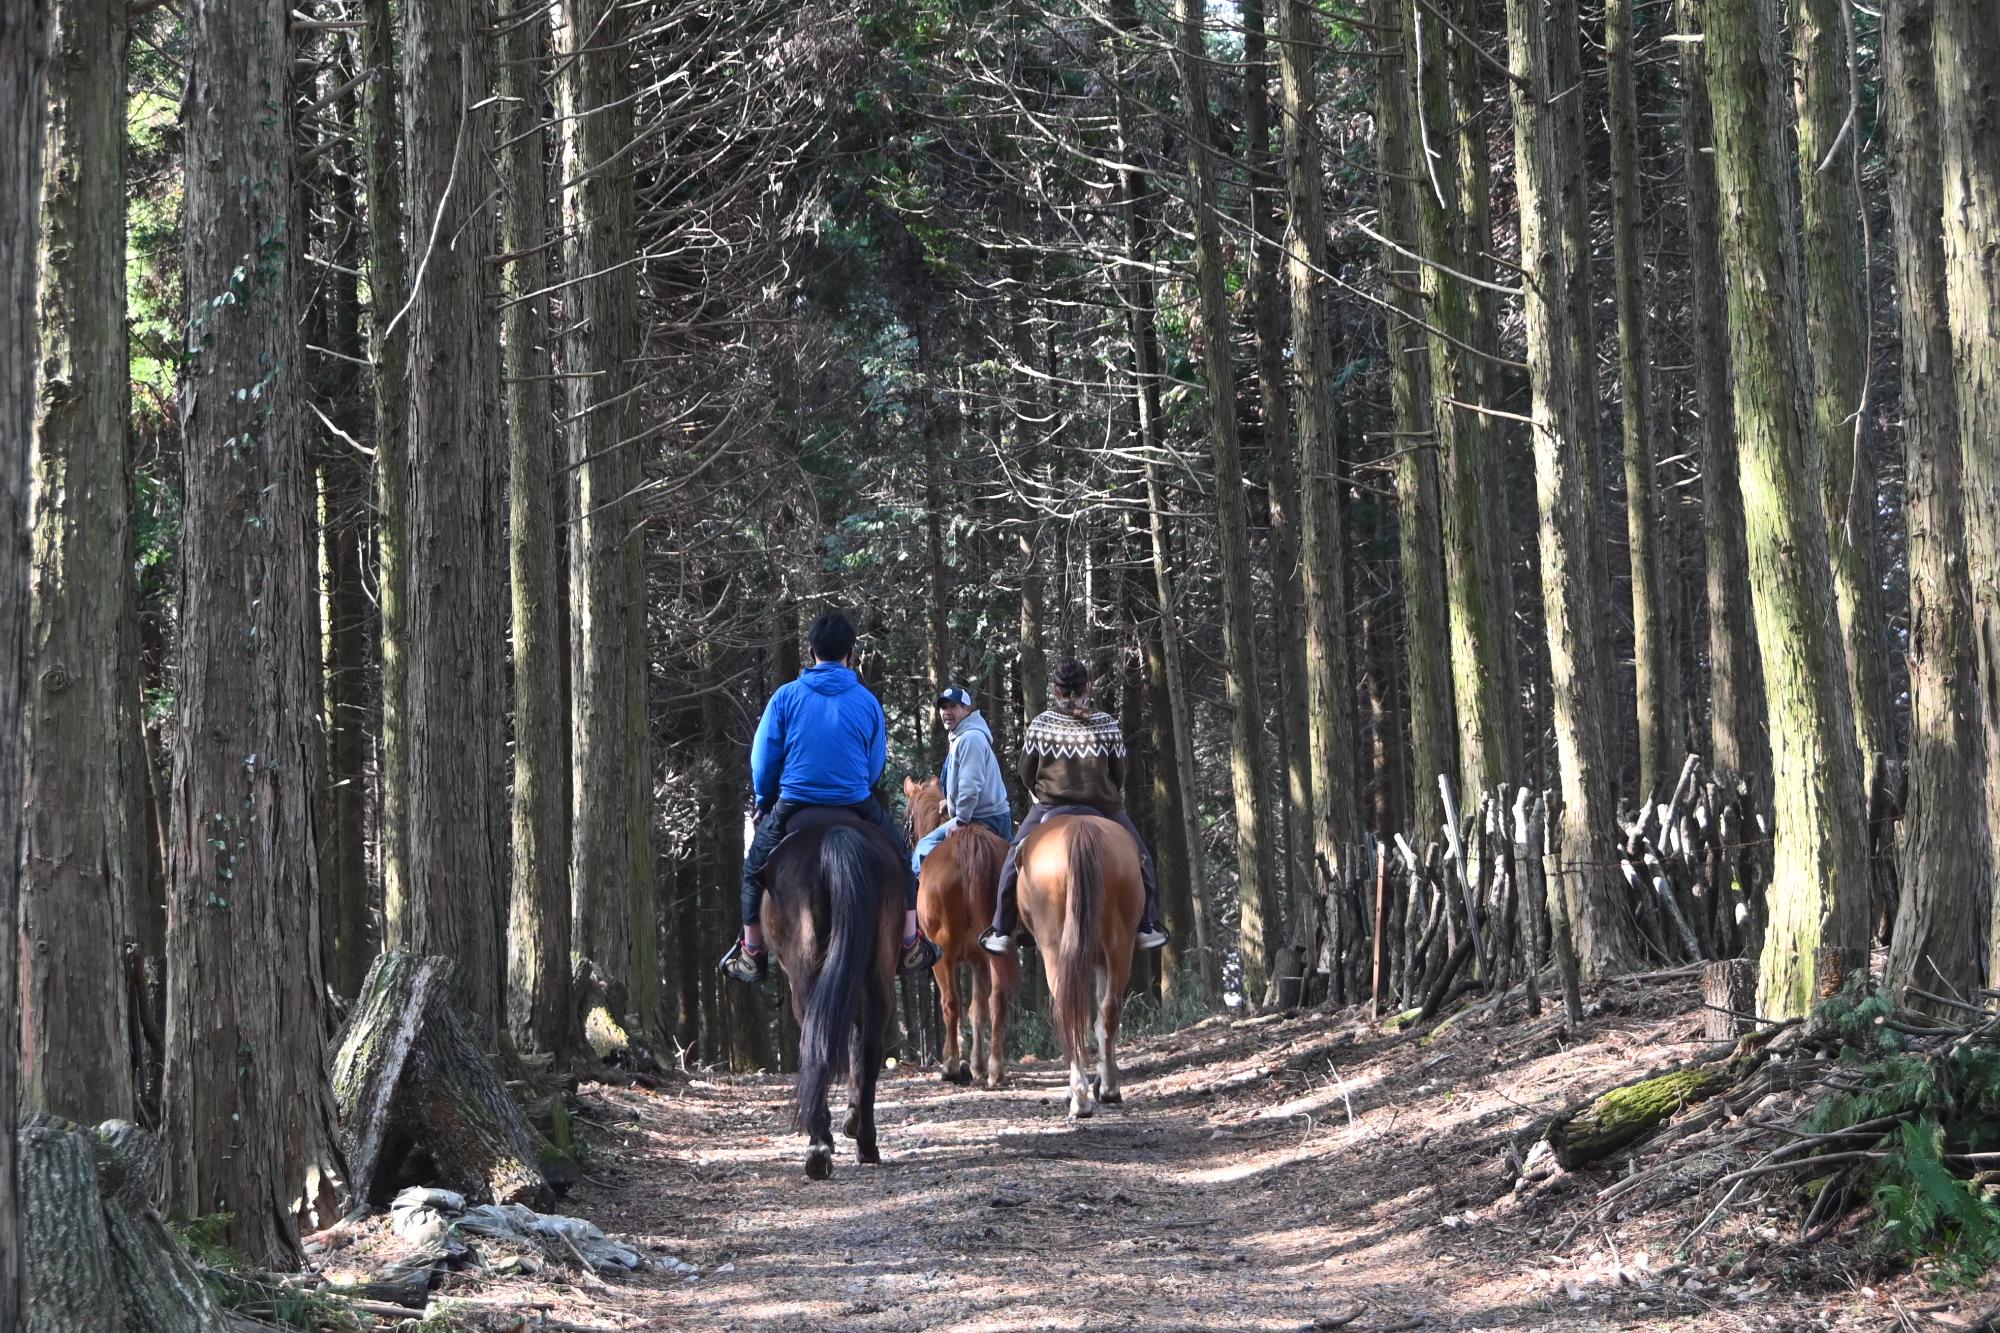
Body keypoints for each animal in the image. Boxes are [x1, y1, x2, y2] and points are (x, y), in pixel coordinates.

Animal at [756, 808, 900, 1176]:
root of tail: (836, 834)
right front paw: (851, 1118)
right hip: (877, 970)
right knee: (868, 1048)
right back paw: (865, 1144)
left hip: (806, 972)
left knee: (815, 1041)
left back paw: (820, 1145)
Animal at [912, 772, 1024, 1088]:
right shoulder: (977, 958)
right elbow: (978, 1007)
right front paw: (977, 1064)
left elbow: (958, 1005)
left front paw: (961, 1060)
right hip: (994, 948)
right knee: (996, 1000)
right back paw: (995, 1069)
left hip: (943, 952)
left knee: (950, 1003)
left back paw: (950, 1066)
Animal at [1016, 808, 1144, 1112]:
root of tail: (1081, 829)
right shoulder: (1099, 957)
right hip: (1120, 943)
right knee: (1108, 1011)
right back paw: (1107, 1089)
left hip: (1054, 946)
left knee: (1069, 1013)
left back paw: (1080, 1097)